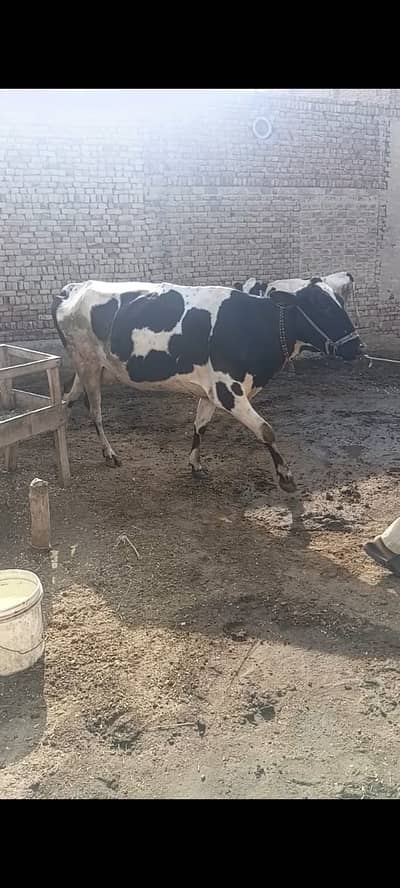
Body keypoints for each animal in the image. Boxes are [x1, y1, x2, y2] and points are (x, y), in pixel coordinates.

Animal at [52, 279, 362, 493]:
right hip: (88, 364)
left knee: (67, 398)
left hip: (92, 367)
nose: (357, 347)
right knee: (94, 410)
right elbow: (266, 431)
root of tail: (73, 287)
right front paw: (285, 476)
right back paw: (110, 453)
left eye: (340, 301)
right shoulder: (228, 391)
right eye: (321, 305)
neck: (254, 324)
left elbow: (200, 425)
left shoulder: (211, 390)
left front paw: (195, 464)